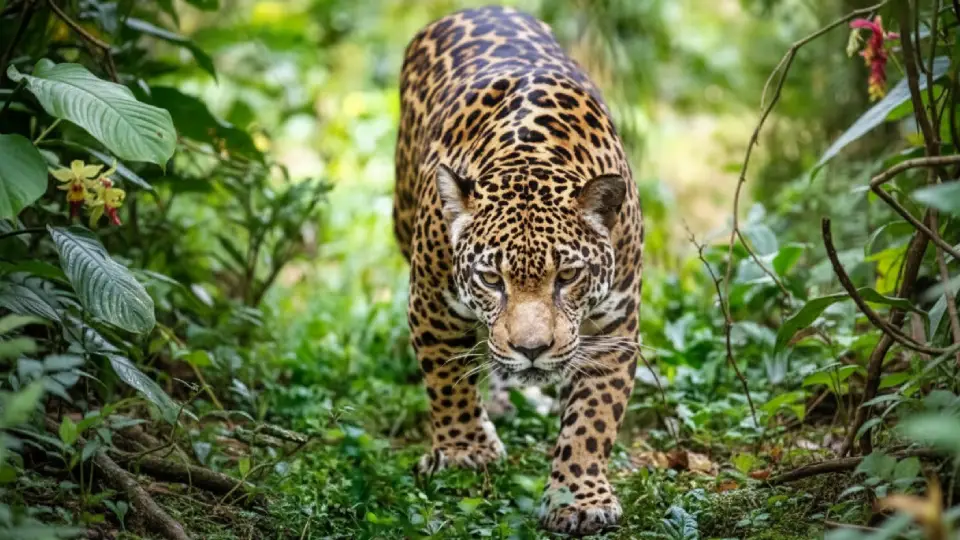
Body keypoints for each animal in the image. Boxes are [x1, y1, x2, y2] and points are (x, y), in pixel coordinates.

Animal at [393, 6, 643, 535]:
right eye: (492, 280)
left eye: (567, 277)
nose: (531, 350)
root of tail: (477, 8)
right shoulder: (430, 303)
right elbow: (446, 379)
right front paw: (465, 453)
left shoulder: (614, 326)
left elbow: (594, 418)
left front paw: (579, 497)